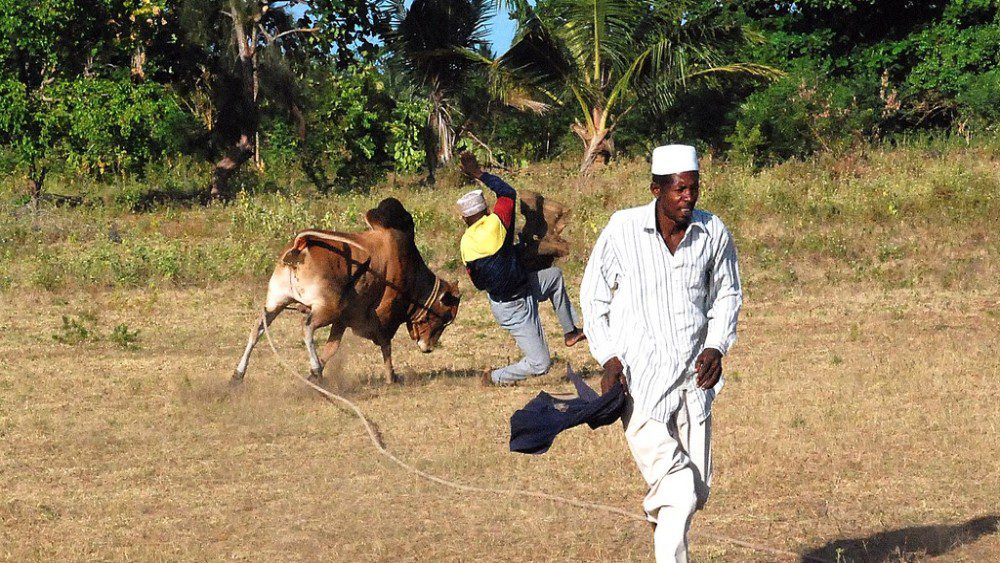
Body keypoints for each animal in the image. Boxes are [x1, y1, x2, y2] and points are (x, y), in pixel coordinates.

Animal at [236, 196, 462, 386]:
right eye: (445, 317)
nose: (428, 348)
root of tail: (301, 245)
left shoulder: (343, 320)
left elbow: (332, 347)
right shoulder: (383, 316)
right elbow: (385, 345)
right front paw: (391, 377)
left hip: (277, 302)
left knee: (257, 329)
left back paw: (238, 375)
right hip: (328, 308)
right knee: (306, 327)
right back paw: (315, 367)